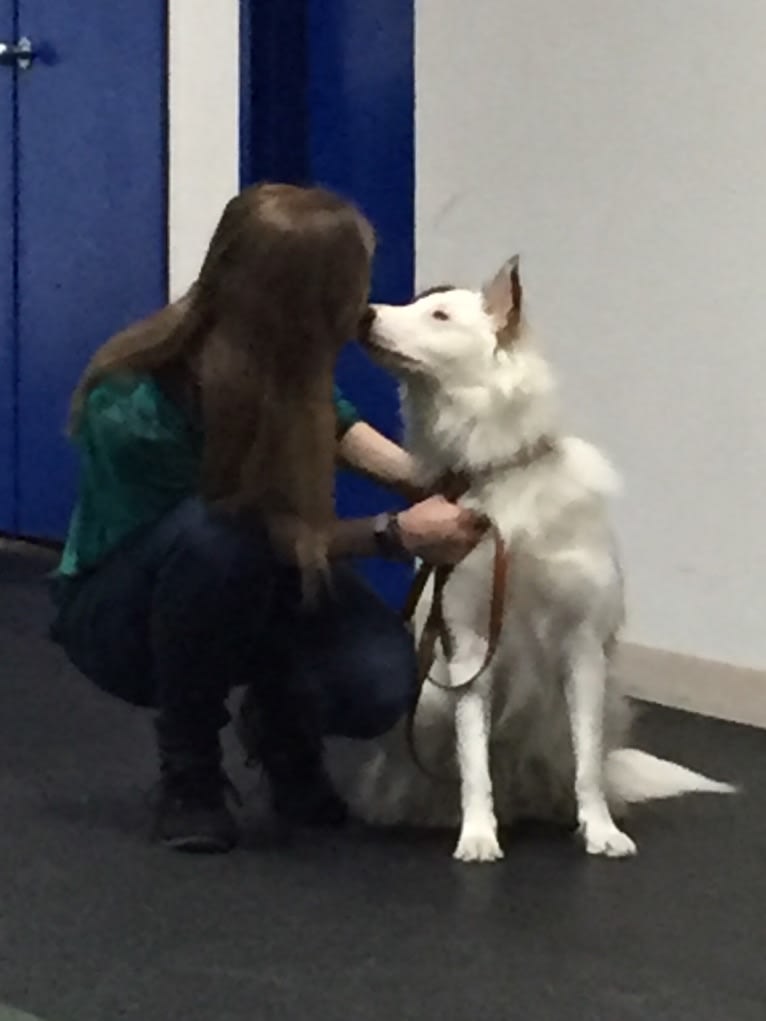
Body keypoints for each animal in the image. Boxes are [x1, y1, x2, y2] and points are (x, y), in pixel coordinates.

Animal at [349, 255, 739, 861]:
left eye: (439, 315)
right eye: (416, 305)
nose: (364, 315)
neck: (501, 478)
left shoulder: (581, 646)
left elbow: (587, 766)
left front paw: (600, 829)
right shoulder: (468, 646)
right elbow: (474, 763)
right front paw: (477, 834)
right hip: (430, 703)